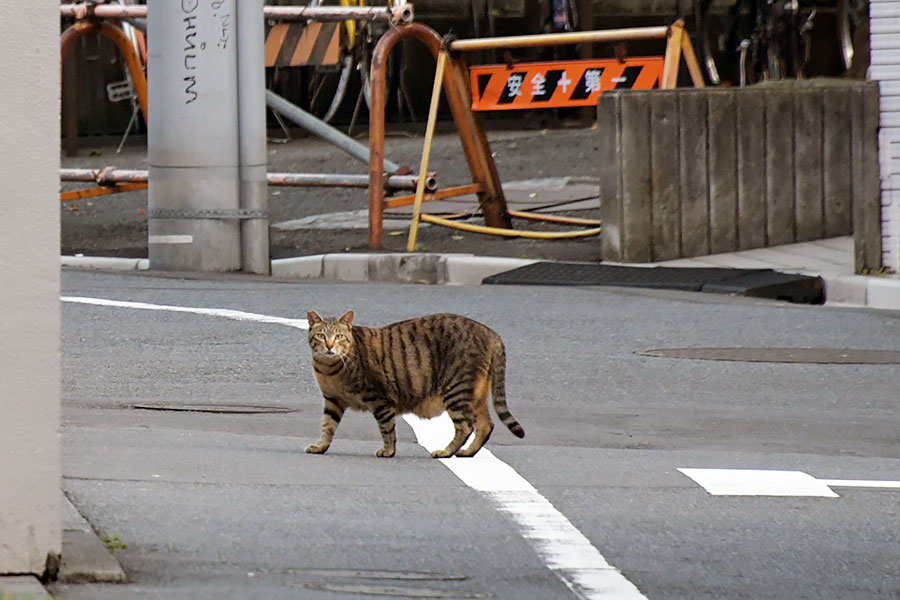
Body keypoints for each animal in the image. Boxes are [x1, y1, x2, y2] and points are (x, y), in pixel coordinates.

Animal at [306, 310, 524, 460]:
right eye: (321, 336)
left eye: (339, 336)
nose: (329, 346)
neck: (329, 368)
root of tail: (490, 332)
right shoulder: (333, 400)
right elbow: (328, 426)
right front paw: (321, 446)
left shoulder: (379, 399)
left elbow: (387, 429)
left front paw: (388, 451)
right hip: (475, 394)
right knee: (486, 425)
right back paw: (468, 452)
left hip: (456, 389)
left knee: (465, 426)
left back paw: (446, 452)